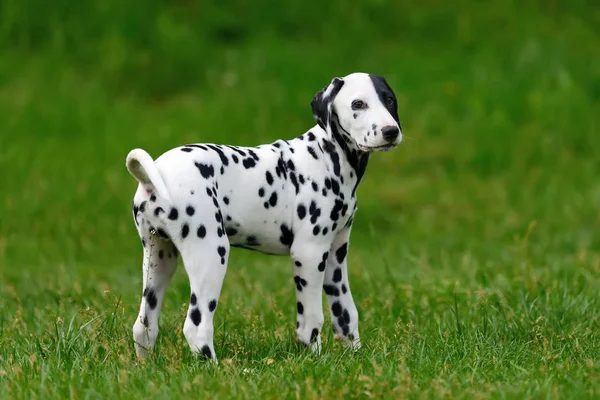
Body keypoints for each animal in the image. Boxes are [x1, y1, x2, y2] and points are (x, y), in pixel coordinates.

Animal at [126, 72, 404, 362]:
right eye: (358, 104)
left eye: (389, 100)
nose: (391, 131)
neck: (328, 156)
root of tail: (155, 173)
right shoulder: (309, 253)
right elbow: (311, 320)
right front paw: (313, 360)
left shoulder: (335, 255)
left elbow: (346, 313)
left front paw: (355, 357)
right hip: (211, 254)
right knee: (196, 325)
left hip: (159, 260)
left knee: (144, 325)